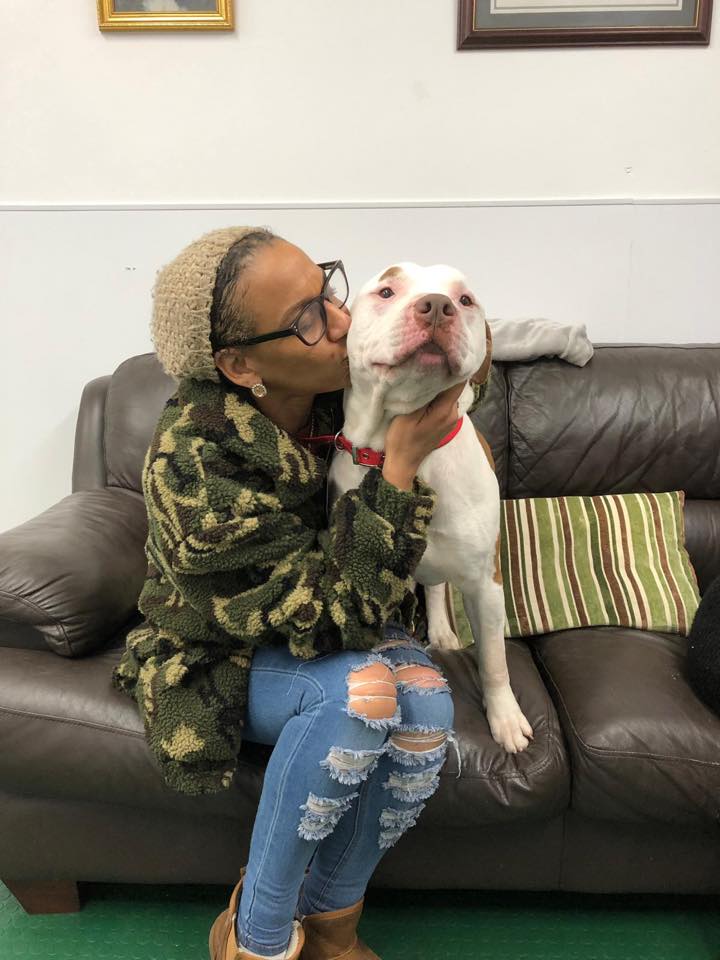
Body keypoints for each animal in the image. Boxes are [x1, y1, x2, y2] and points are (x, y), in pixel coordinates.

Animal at [328, 260, 592, 752]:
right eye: (387, 291)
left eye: (465, 300)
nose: (436, 306)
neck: (410, 455)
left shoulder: (485, 585)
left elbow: (494, 660)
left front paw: (505, 718)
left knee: (436, 588)